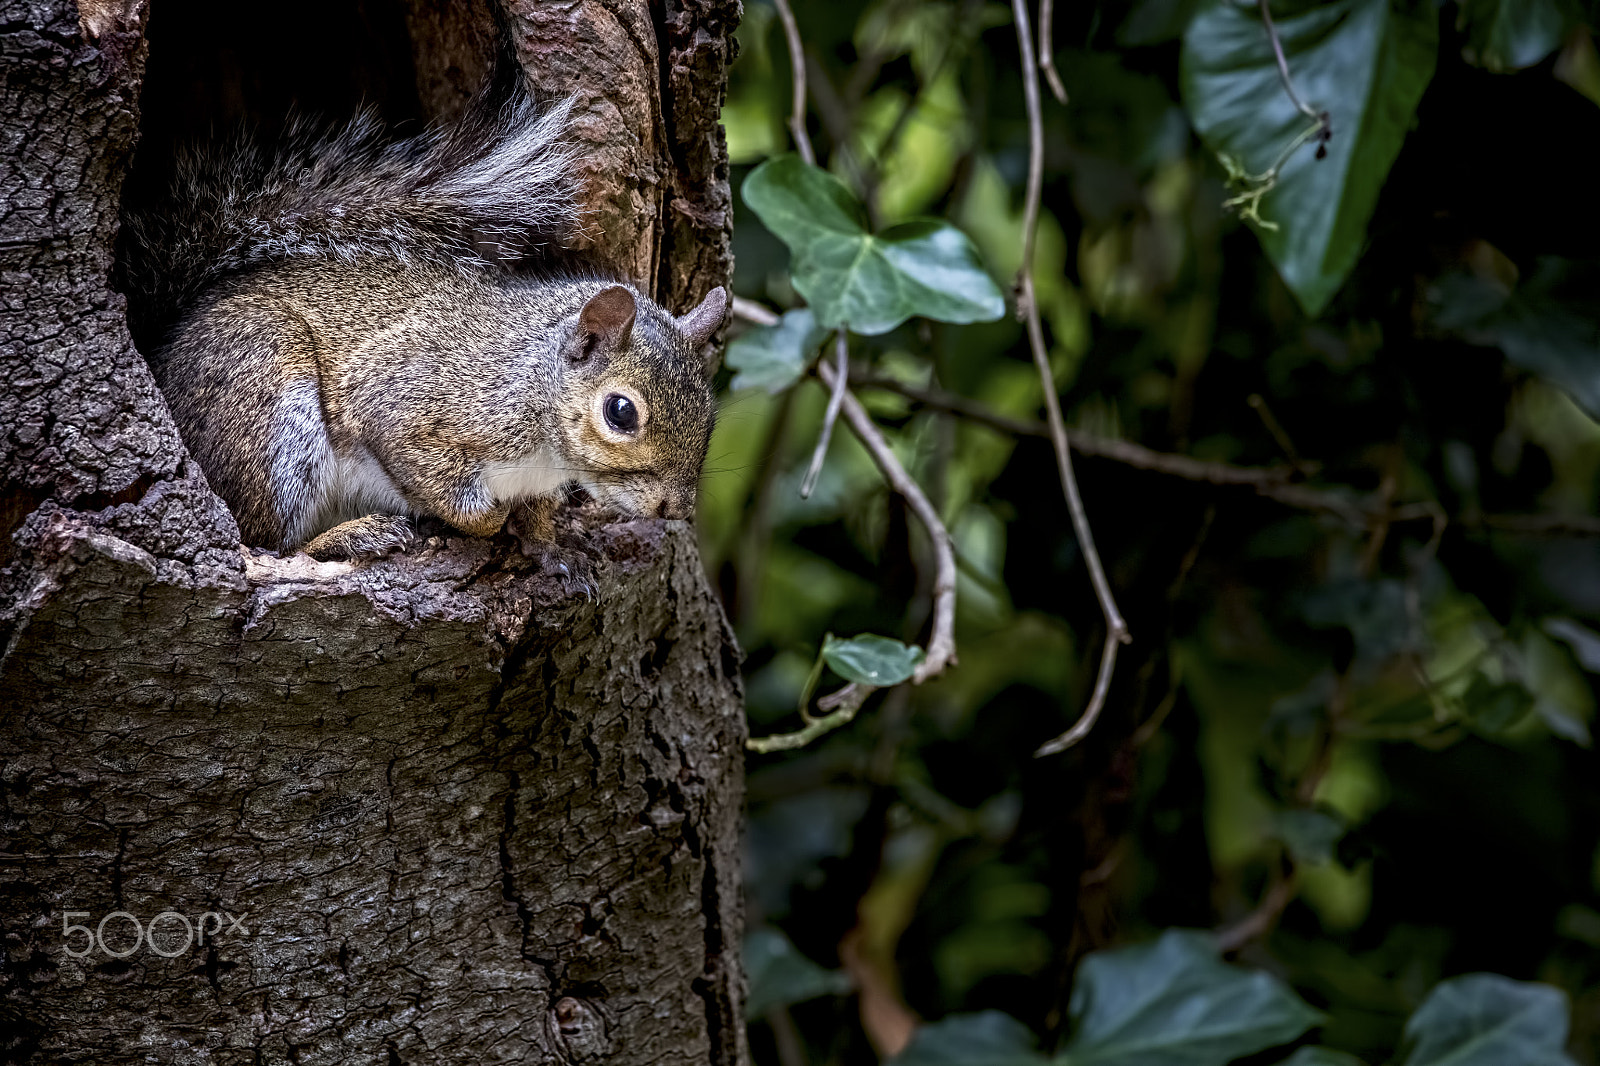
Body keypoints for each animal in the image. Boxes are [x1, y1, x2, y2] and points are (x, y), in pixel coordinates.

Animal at [118, 68, 726, 572]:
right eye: (620, 412)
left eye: (710, 414)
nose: (674, 509)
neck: (533, 382)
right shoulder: (420, 402)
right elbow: (441, 481)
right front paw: (490, 522)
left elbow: (537, 513)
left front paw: (547, 545)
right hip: (272, 419)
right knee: (266, 541)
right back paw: (353, 535)